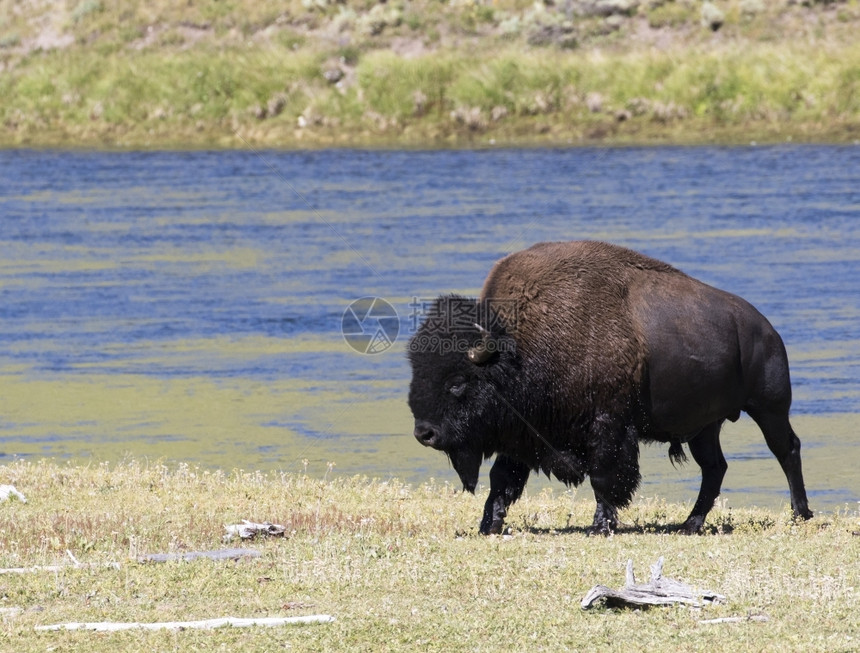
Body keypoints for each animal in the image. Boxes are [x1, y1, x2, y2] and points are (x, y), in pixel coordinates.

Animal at [410, 241, 812, 536]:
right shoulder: (525, 431)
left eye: (457, 382)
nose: (424, 433)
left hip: (769, 407)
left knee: (786, 449)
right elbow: (502, 480)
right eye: (417, 371)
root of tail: (765, 329)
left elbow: (604, 478)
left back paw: (800, 514)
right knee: (715, 468)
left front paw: (600, 526)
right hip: (705, 427)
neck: (518, 351)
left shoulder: (607, 427)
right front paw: (487, 525)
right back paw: (690, 524)